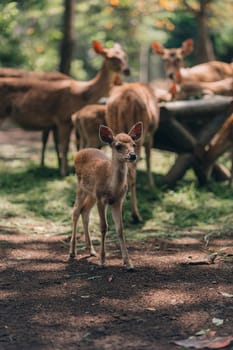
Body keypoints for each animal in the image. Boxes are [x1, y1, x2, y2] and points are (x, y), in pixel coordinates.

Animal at [68, 121, 142, 270]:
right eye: (118, 146)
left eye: (134, 144)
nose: (132, 155)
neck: (112, 188)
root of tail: (79, 152)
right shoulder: (101, 199)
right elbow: (104, 227)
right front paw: (102, 262)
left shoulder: (118, 201)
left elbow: (120, 229)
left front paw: (128, 263)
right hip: (81, 188)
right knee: (76, 211)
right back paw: (72, 252)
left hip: (92, 194)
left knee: (85, 212)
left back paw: (91, 250)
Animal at [106, 82, 159, 221]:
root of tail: (125, 99)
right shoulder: (151, 135)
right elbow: (149, 157)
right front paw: (152, 186)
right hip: (139, 137)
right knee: (132, 171)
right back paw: (136, 215)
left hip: (115, 130)